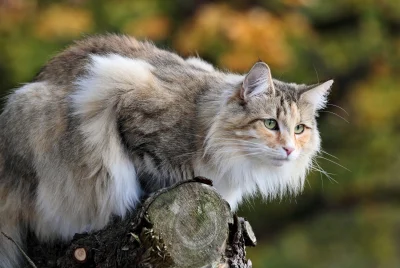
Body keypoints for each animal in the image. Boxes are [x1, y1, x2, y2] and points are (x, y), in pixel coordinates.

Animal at [0, 34, 332, 266]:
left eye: (300, 129)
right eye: (271, 124)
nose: (289, 149)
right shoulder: (123, 101)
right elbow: (148, 172)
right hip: (30, 108)